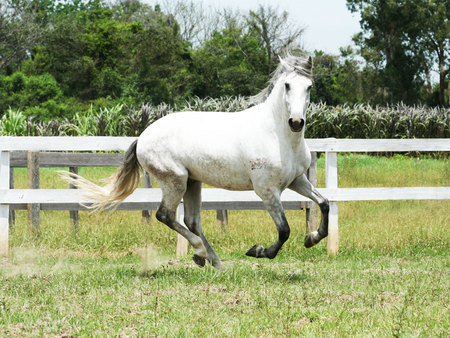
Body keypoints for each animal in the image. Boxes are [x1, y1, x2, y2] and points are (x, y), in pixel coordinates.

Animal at [59, 54, 330, 270]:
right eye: (287, 85)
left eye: (309, 86)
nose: (296, 122)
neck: (277, 135)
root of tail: (142, 137)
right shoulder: (267, 191)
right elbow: (284, 230)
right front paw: (258, 251)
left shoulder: (297, 180)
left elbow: (324, 203)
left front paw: (312, 238)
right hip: (175, 181)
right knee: (166, 215)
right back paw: (200, 253)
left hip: (193, 182)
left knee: (191, 221)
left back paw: (214, 262)